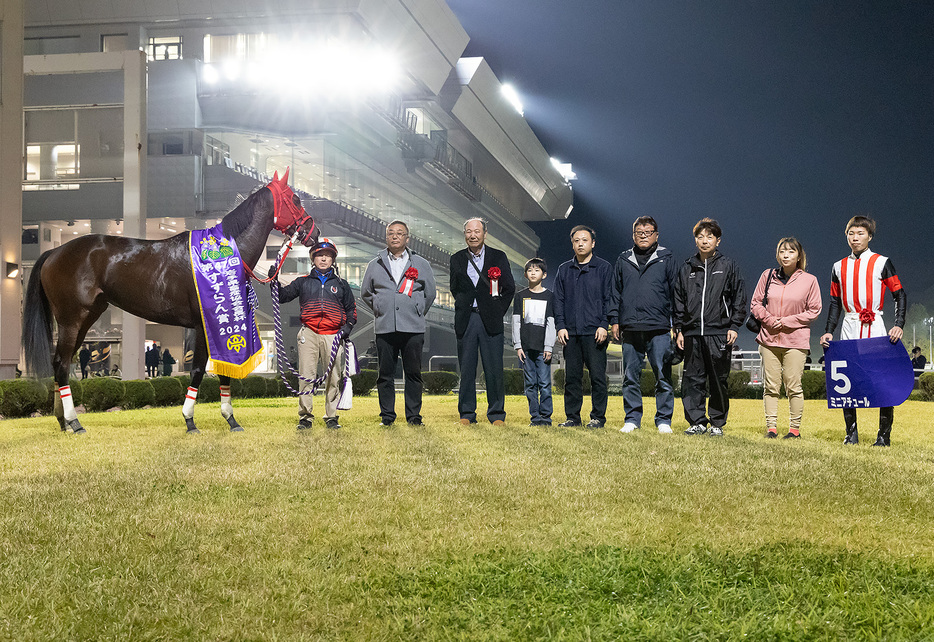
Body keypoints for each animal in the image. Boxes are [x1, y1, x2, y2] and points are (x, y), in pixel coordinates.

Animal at [21, 169, 318, 436]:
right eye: (295, 199)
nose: (313, 233)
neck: (220, 254)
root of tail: (54, 252)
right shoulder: (204, 325)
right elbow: (198, 370)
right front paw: (190, 421)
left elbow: (223, 372)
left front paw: (231, 420)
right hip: (72, 320)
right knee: (61, 365)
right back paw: (75, 422)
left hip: (85, 319)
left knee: (62, 363)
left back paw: (63, 421)